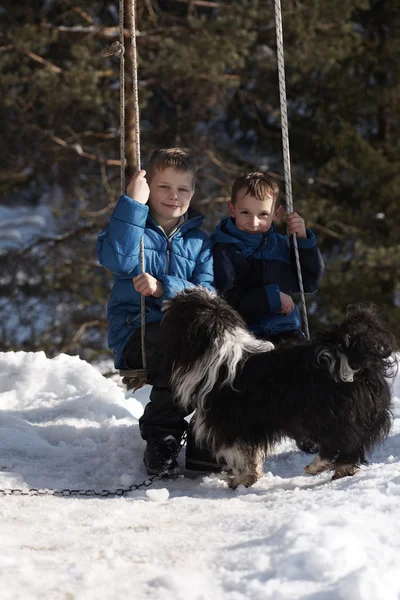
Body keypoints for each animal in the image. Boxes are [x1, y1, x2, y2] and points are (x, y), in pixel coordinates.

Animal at [160, 288, 396, 490]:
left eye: (182, 302)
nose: (169, 297)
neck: (219, 352)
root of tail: (352, 355)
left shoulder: (231, 422)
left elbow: (239, 453)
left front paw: (241, 479)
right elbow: (249, 454)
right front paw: (249, 477)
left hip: (326, 414)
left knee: (339, 441)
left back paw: (316, 466)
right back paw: (341, 469)